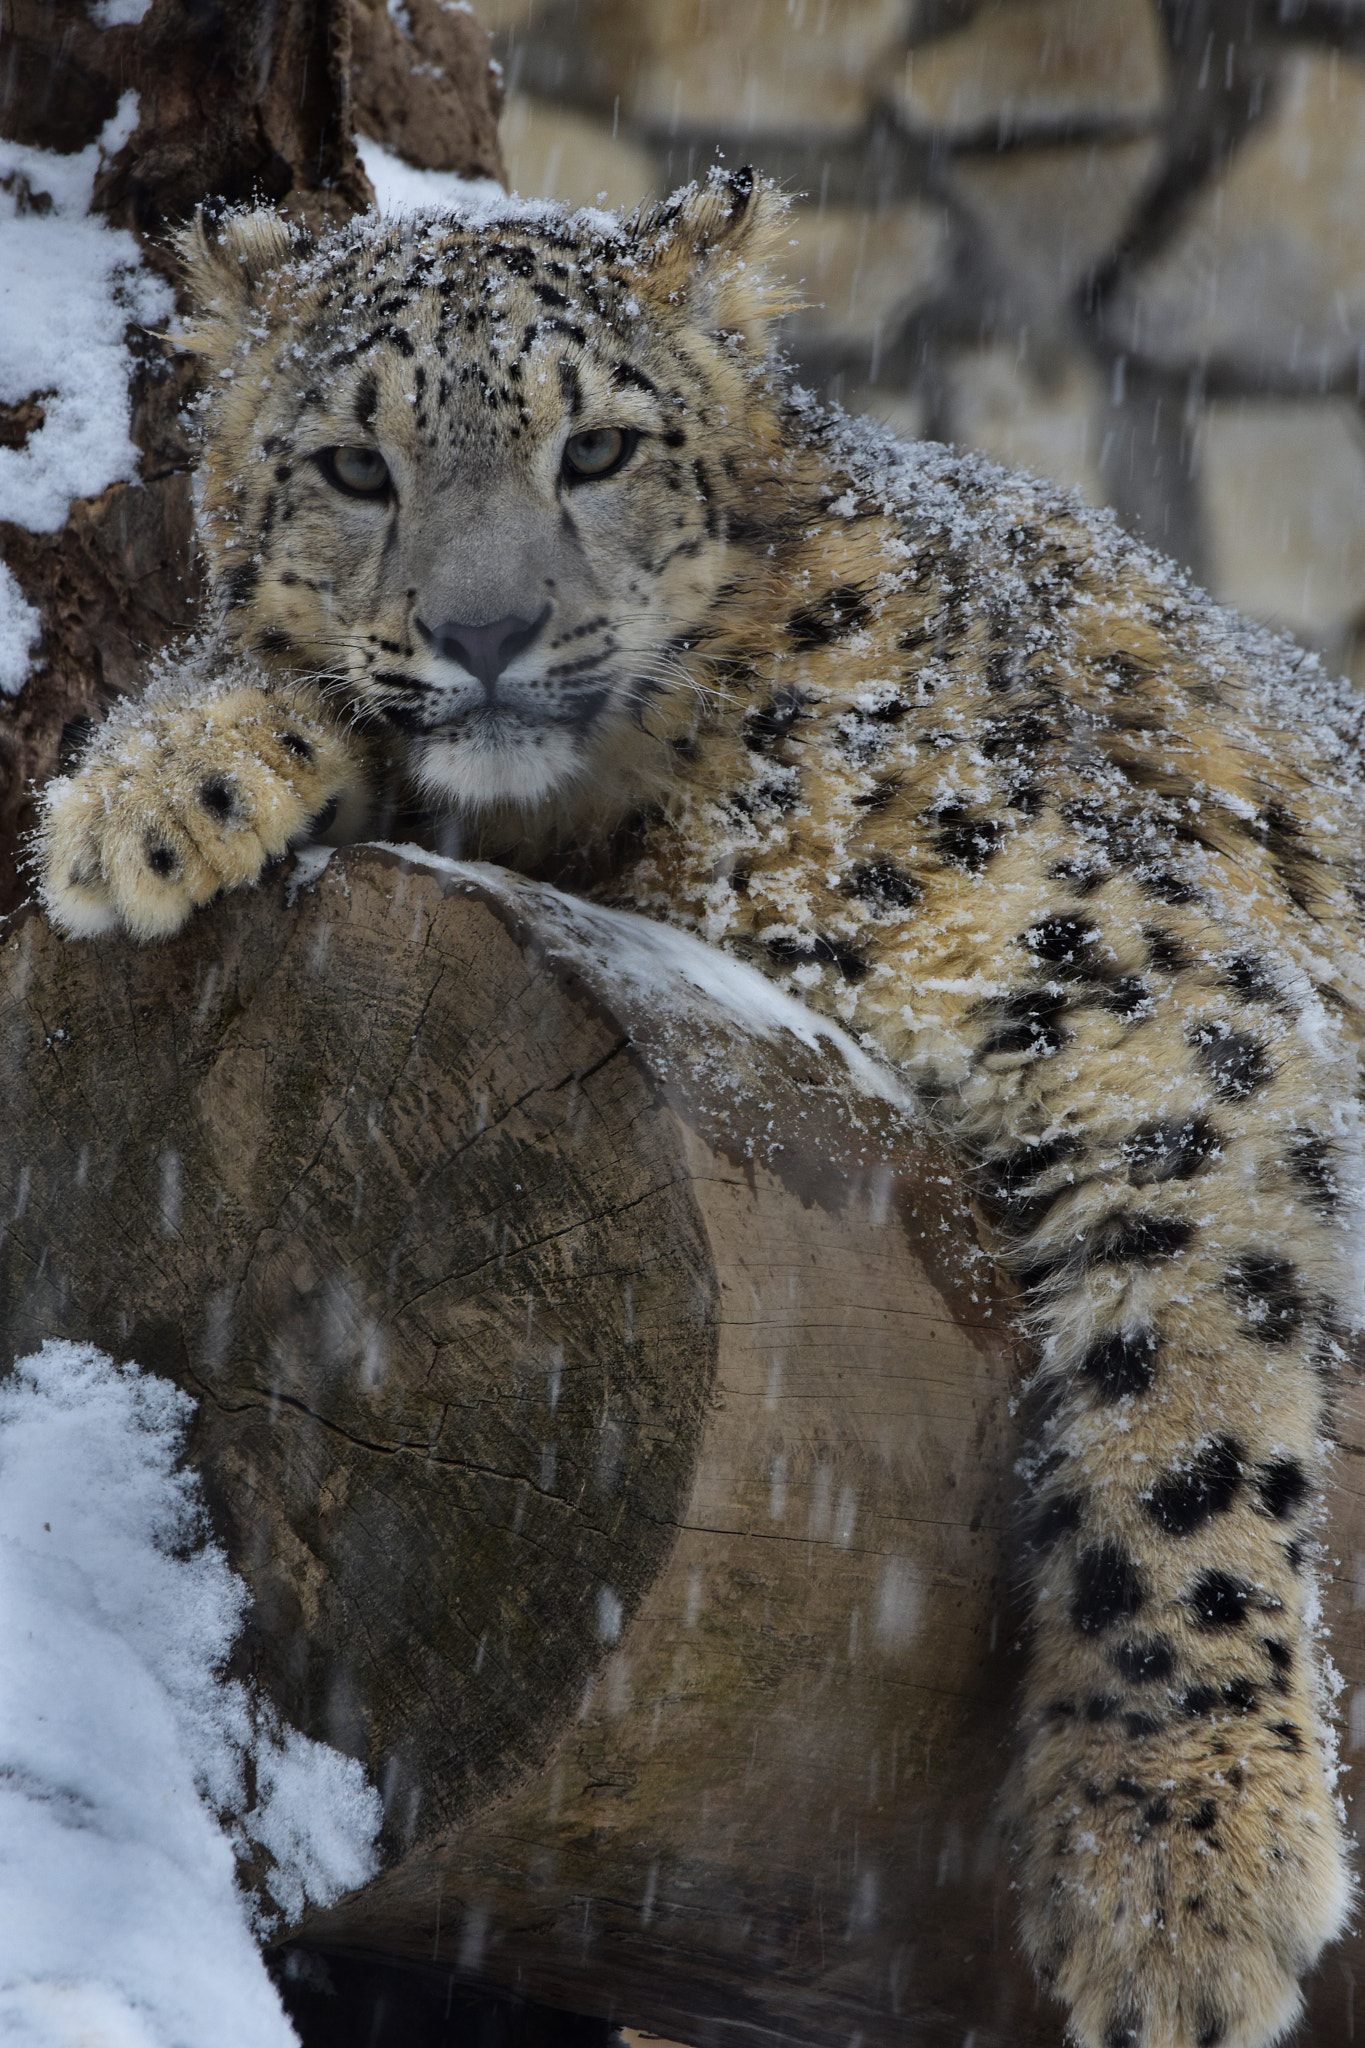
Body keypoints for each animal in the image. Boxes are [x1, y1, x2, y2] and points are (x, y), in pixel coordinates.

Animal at [34, 169, 1365, 2048]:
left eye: (596, 447)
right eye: (353, 465)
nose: (487, 631)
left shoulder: (1144, 988)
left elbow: (1185, 1423)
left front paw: (1182, 1874)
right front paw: (146, 792)